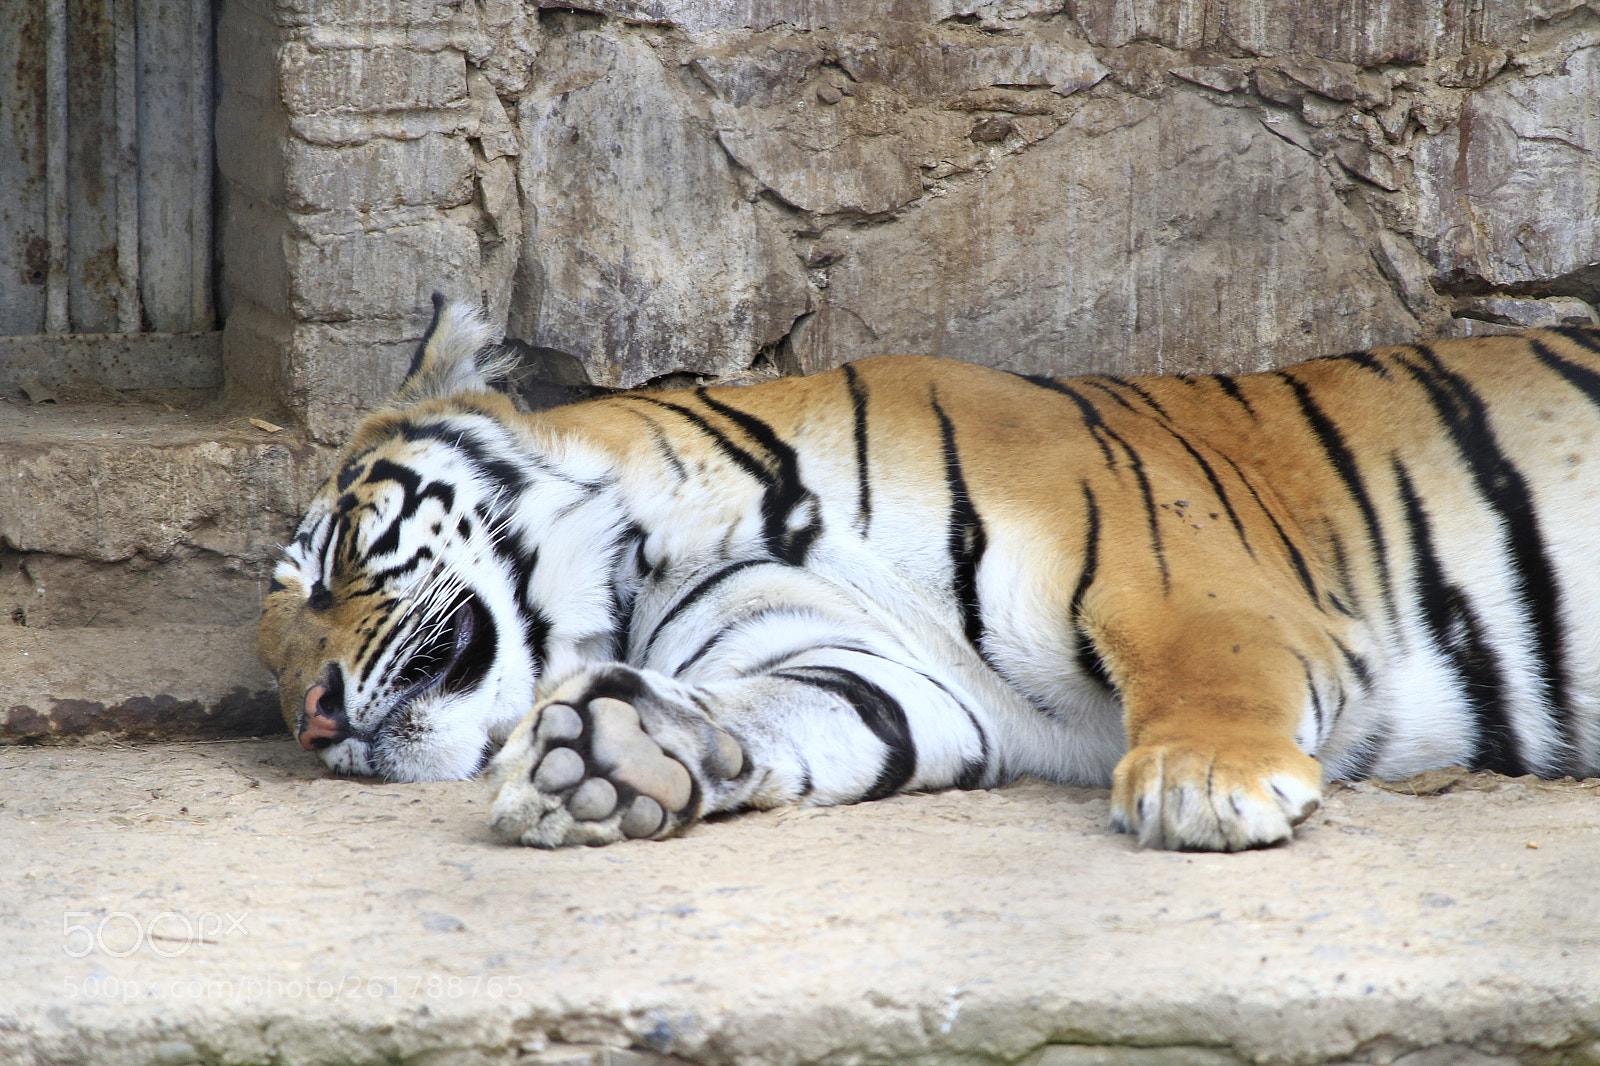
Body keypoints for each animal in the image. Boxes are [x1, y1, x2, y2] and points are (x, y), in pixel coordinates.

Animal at [256, 295, 1600, 851]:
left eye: (325, 565)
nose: (311, 718)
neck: (664, 555)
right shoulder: (890, 677)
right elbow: (787, 717)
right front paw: (607, 760)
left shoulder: (1173, 571)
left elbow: (1204, 671)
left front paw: (1205, 783)